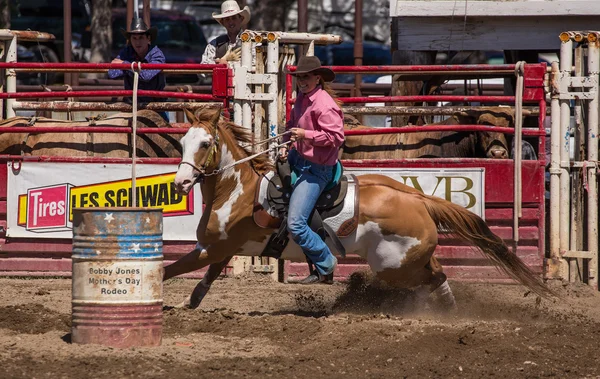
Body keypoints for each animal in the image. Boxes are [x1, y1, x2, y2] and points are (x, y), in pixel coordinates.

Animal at [164, 107, 552, 312]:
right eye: (182, 141)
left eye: (205, 143)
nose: (180, 183)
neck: (237, 190)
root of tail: (418, 199)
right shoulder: (220, 251)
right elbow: (201, 285)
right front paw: (188, 306)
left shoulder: (214, 248)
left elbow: (168, 270)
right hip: (411, 258)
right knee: (439, 273)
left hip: (393, 267)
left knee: (431, 279)